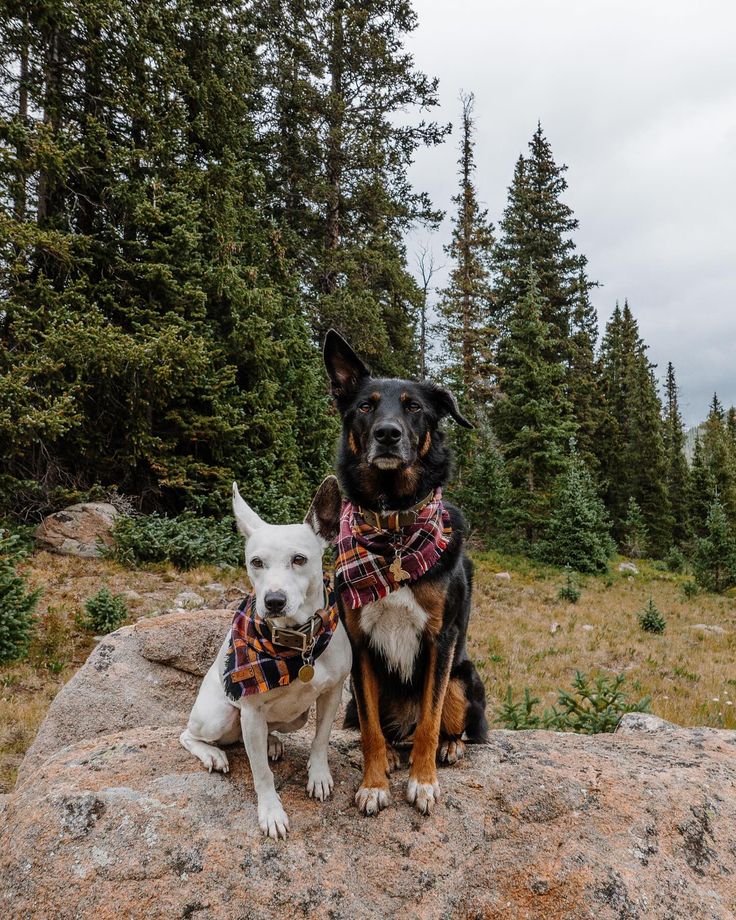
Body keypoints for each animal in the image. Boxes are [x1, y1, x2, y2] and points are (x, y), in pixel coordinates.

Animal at [180, 482, 350, 840]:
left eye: (299, 559)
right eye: (255, 562)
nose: (274, 600)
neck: (296, 643)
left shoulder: (332, 693)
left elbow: (321, 739)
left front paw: (318, 775)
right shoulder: (251, 713)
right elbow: (261, 773)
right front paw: (271, 813)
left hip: (295, 717)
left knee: (272, 729)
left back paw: (272, 742)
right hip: (218, 716)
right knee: (188, 735)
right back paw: (212, 754)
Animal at [324, 328, 488, 816]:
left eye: (414, 407)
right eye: (365, 406)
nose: (387, 434)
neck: (394, 526)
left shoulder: (441, 638)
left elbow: (430, 722)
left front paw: (424, 781)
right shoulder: (359, 642)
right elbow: (371, 732)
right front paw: (374, 784)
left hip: (463, 675)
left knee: (445, 724)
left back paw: (450, 747)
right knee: (390, 732)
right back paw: (396, 757)